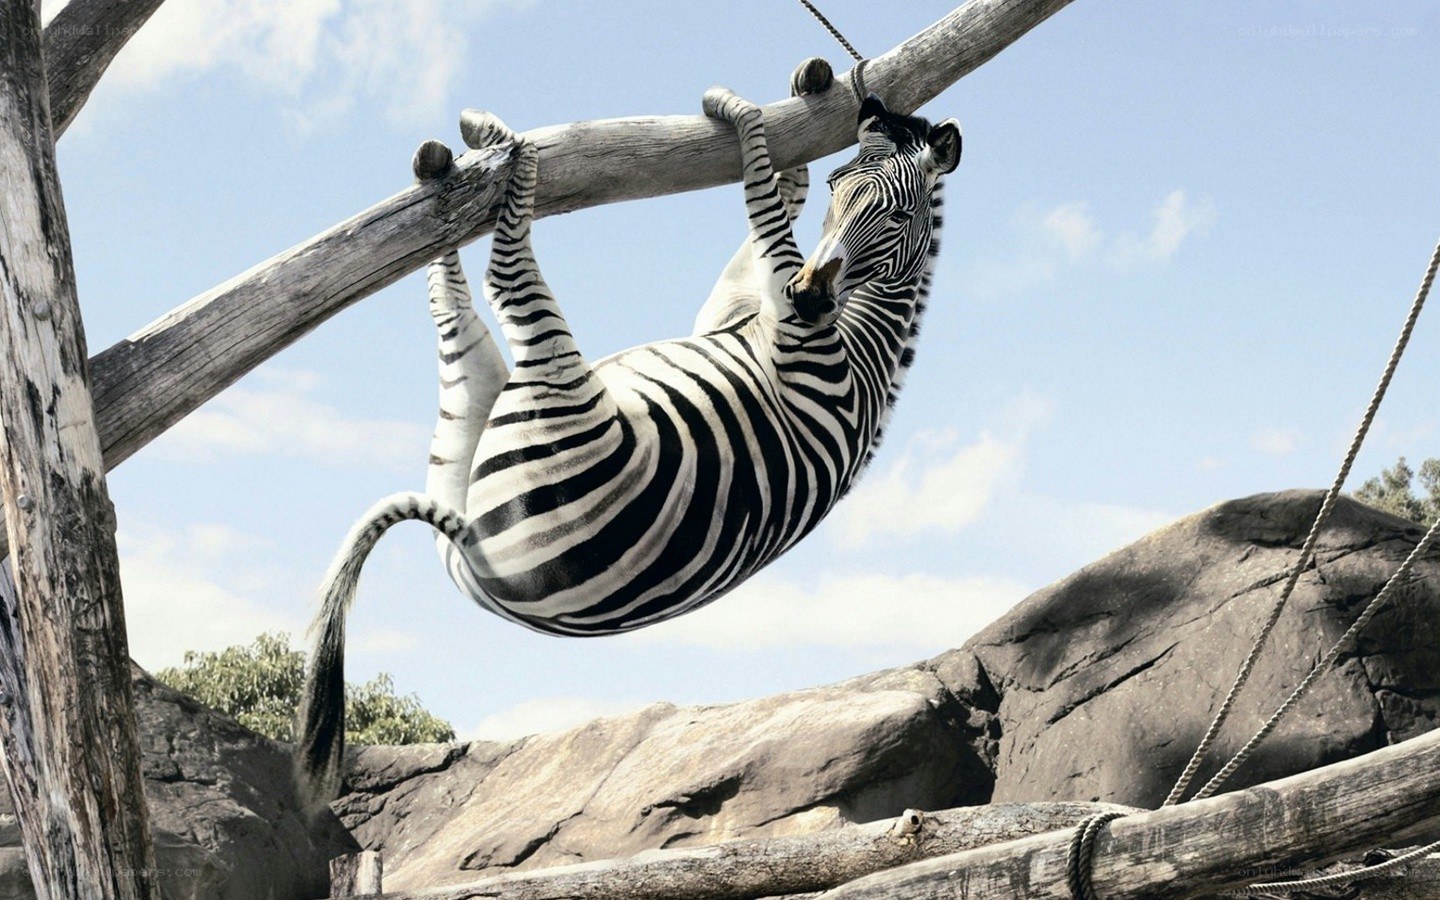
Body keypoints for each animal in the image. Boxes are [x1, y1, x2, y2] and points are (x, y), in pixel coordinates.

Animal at [297, 57, 961, 805]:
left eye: (898, 213)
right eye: (839, 187)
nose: (810, 294)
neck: (862, 341)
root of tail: (473, 549)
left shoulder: (793, 335)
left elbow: (761, 205)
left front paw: (734, 110)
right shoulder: (736, 309)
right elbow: (770, 205)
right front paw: (789, 103)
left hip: (548, 386)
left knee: (505, 275)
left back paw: (503, 148)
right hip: (463, 426)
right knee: (451, 303)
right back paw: (446, 176)